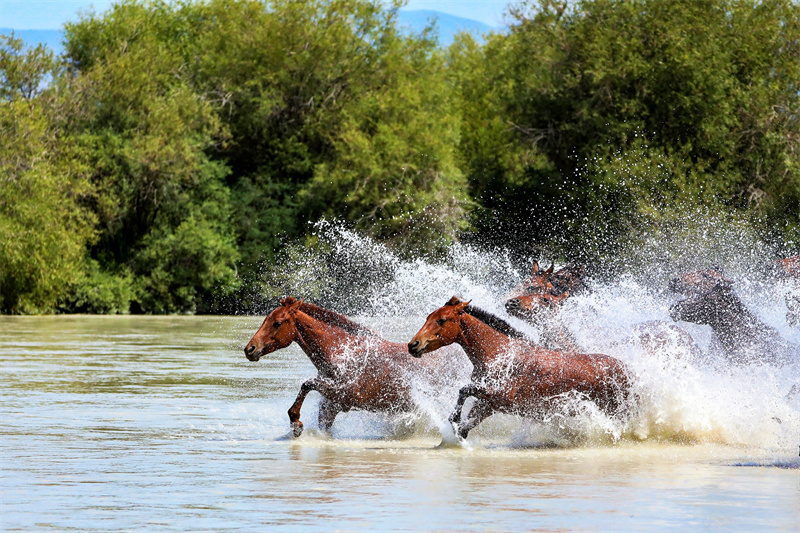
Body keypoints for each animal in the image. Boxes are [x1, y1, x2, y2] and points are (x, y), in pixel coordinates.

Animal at [245, 296, 424, 436]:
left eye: (277, 323)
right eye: (265, 320)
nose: (249, 349)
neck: (342, 353)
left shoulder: (344, 394)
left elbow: (306, 384)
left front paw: (296, 424)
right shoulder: (331, 405)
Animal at [406, 298, 632, 438]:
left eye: (442, 320)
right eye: (428, 317)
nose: (413, 345)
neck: (499, 354)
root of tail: (630, 372)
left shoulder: (503, 397)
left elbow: (464, 390)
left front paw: (453, 417)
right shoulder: (489, 404)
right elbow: (465, 423)